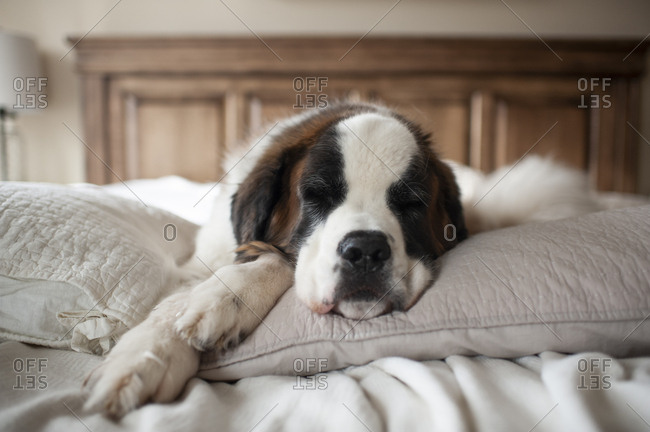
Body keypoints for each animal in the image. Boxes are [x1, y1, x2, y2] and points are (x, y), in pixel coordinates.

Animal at [82, 100, 596, 416]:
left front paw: (223, 301)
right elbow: (183, 300)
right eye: (317, 198)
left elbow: (278, 261)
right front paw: (148, 357)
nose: (365, 249)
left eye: (409, 204)